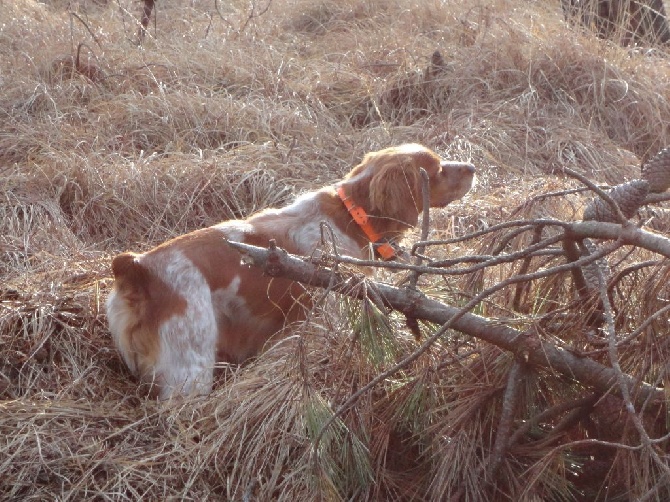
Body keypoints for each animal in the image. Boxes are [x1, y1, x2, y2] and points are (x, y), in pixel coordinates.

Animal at [107, 143, 476, 398]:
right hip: (191, 366)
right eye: (437, 169)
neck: (349, 215)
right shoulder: (326, 312)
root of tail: (139, 267)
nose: (472, 165)